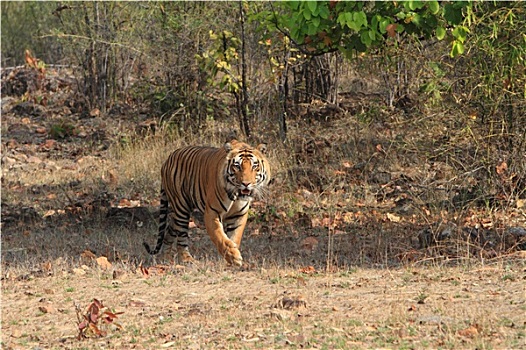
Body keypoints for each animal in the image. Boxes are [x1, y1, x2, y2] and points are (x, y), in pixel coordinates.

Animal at [143, 139, 272, 266]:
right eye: (237, 166)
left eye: (254, 166)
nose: (246, 183)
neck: (236, 194)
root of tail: (166, 161)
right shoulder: (212, 213)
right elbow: (219, 237)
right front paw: (233, 256)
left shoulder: (239, 215)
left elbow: (235, 237)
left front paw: (231, 258)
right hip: (181, 208)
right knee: (181, 237)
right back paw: (187, 259)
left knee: (170, 231)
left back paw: (166, 259)